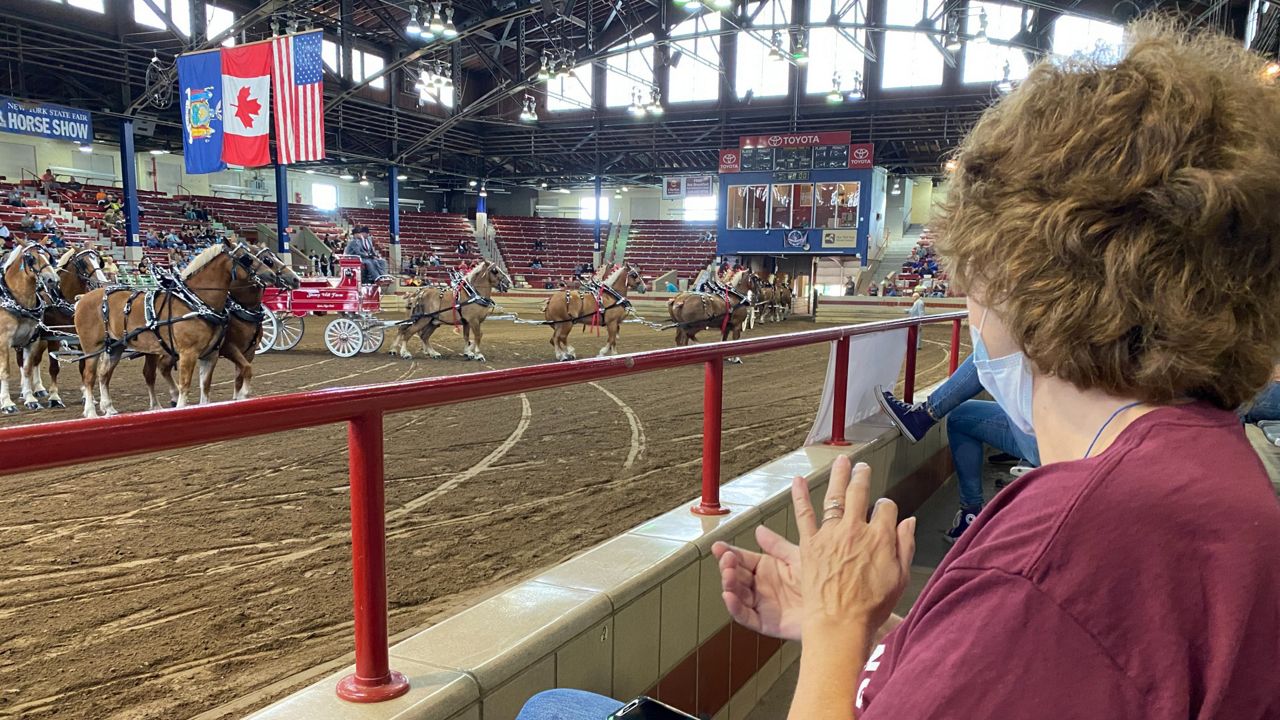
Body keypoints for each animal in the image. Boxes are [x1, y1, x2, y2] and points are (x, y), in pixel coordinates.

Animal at [0, 244, 60, 412]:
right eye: (31, 258)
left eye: (48, 256)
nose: (52, 279)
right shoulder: (4, 342)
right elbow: (5, 371)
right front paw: (7, 403)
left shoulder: (31, 341)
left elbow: (27, 369)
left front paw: (30, 399)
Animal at [17, 245, 107, 407]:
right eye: (83, 262)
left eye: (98, 261)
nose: (102, 283)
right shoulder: (55, 338)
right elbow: (54, 367)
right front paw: (54, 397)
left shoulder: (79, 338)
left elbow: (82, 367)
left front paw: (86, 396)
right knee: (22, 361)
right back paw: (25, 391)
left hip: (41, 341)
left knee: (35, 360)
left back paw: (39, 389)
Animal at [73, 237, 276, 415]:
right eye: (247, 258)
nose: (272, 274)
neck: (196, 302)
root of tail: (83, 298)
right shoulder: (189, 353)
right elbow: (184, 386)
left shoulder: (211, 355)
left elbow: (205, 388)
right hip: (92, 347)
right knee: (89, 377)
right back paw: (91, 412)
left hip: (115, 346)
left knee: (104, 375)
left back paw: (109, 409)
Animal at [142, 244, 299, 404]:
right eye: (268, 260)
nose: (295, 279)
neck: (239, 309)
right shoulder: (230, 348)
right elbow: (246, 369)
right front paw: (242, 396)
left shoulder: (248, 352)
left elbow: (240, 377)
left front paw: (237, 398)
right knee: (152, 372)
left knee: (162, 367)